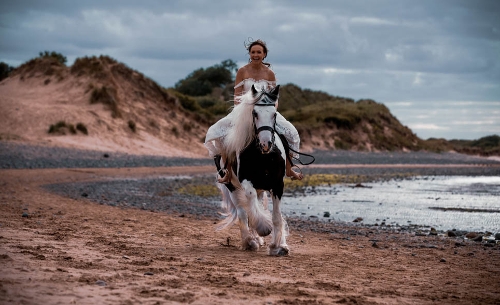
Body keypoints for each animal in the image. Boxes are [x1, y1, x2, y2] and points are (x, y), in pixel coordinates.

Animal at [214, 84, 290, 255]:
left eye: (274, 114)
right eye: (255, 113)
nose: (266, 143)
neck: (263, 156)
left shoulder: (278, 184)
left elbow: (276, 216)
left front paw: (278, 246)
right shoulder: (245, 182)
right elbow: (250, 204)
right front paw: (264, 228)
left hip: (261, 188)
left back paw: (257, 239)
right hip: (231, 186)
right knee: (243, 212)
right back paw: (249, 241)